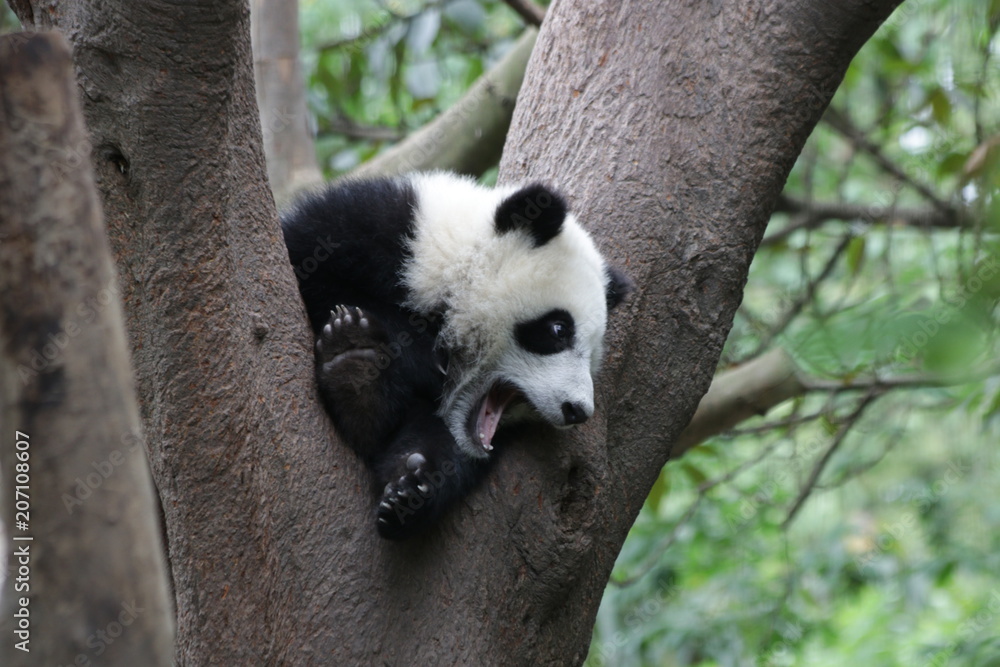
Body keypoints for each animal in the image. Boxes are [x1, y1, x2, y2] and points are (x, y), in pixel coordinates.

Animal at [281, 171, 631, 540]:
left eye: (591, 357)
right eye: (559, 330)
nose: (577, 410)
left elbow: (441, 446)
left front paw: (412, 486)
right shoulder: (371, 230)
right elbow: (312, 271)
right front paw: (424, 355)